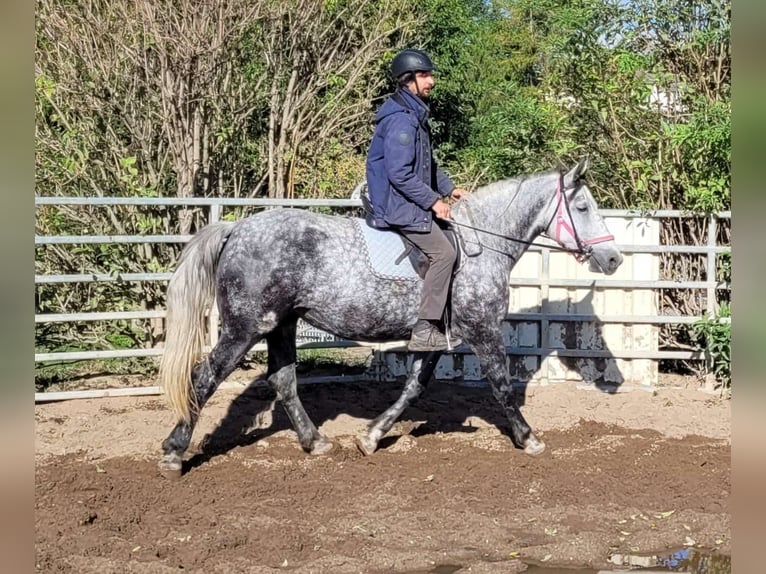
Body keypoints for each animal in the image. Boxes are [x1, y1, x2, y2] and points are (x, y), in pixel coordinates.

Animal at [156, 156, 624, 476]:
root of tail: (236, 229)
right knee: (204, 377)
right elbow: (502, 386)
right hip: (245, 328)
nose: (614, 258)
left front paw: (371, 436)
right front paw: (528, 439)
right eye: (583, 208)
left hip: (281, 326)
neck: (481, 247)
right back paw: (174, 452)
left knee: (284, 382)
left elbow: (414, 388)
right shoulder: (483, 330)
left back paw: (315, 442)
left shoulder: (436, 336)